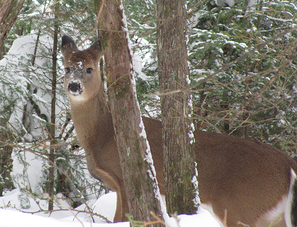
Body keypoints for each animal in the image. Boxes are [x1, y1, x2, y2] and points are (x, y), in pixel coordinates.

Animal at [60, 34, 296, 226]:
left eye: (90, 68)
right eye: (67, 68)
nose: (74, 86)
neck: (103, 133)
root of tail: (288, 164)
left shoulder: (124, 179)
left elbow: (119, 220)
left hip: (240, 205)